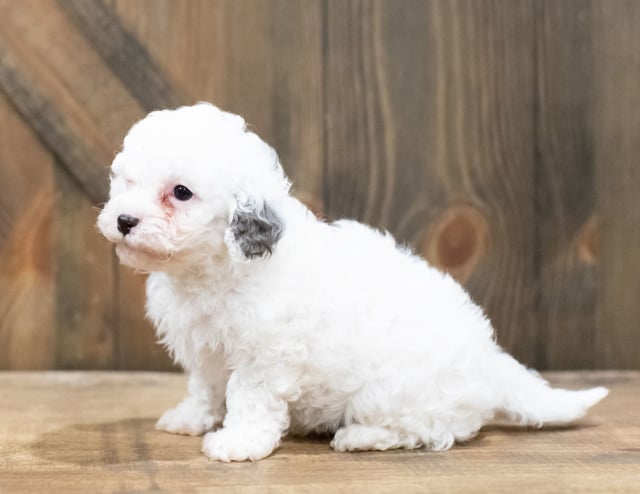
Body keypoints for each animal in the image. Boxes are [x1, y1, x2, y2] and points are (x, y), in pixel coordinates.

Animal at [97, 102, 608, 462]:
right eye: (125, 182)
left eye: (181, 193)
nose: (124, 220)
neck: (215, 267)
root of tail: (490, 363)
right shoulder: (205, 350)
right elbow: (204, 386)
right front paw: (191, 418)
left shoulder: (265, 355)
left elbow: (250, 398)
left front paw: (238, 442)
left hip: (395, 391)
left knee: (432, 431)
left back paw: (360, 436)